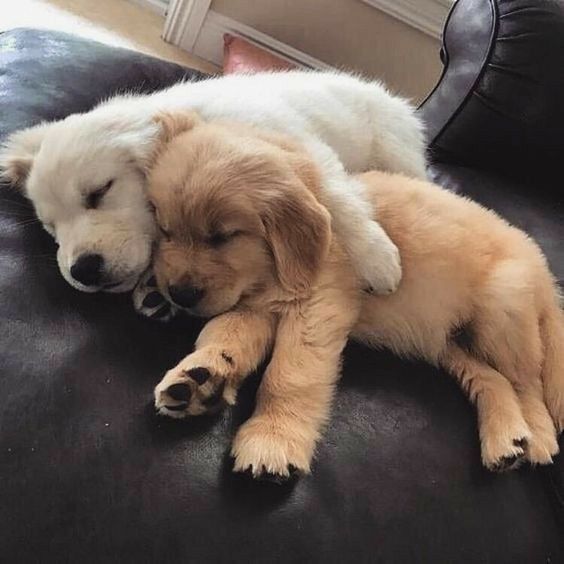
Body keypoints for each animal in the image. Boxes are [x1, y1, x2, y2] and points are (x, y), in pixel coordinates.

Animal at [0, 70, 424, 298]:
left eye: (99, 192)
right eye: (50, 227)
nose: (83, 271)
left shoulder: (308, 151)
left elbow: (338, 200)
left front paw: (375, 258)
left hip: (397, 150)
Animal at [147, 111, 564, 480]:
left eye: (222, 237)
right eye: (165, 230)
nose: (179, 295)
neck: (269, 274)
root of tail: (547, 275)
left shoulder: (318, 306)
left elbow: (290, 374)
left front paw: (273, 439)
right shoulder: (256, 307)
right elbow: (224, 333)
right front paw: (200, 377)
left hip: (502, 307)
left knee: (528, 382)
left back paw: (539, 437)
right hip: (449, 342)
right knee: (492, 378)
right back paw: (506, 440)